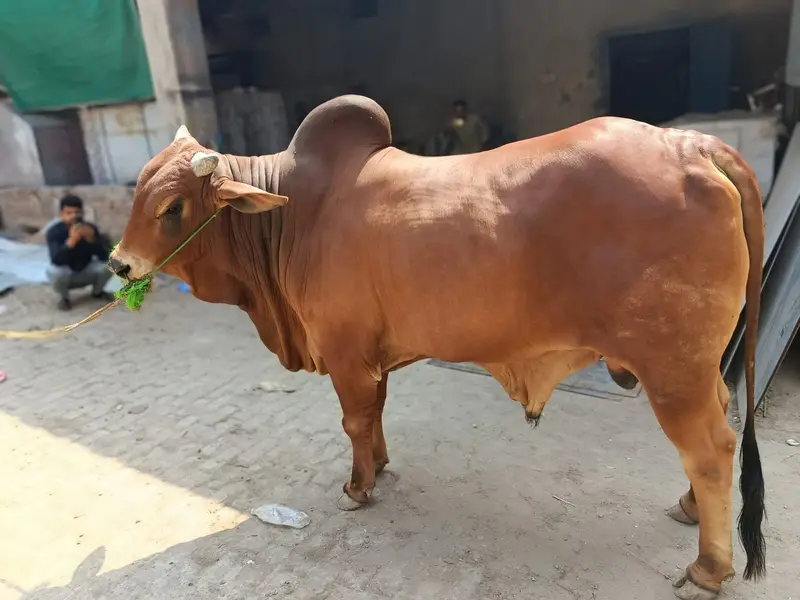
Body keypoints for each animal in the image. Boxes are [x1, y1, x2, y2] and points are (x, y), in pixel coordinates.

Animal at [109, 95, 765, 600]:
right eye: (138, 192)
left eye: (172, 207)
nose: (119, 264)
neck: (293, 215)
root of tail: (691, 145)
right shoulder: (373, 355)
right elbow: (375, 414)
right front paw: (380, 466)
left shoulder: (343, 351)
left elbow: (353, 420)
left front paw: (357, 489)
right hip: (699, 366)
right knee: (718, 430)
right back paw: (688, 509)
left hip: (671, 368)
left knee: (710, 450)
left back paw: (709, 567)